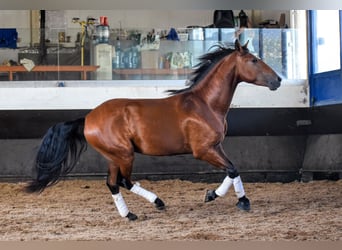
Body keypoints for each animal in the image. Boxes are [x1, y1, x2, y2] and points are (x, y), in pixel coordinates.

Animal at [24, 39, 280, 221]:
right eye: (254, 60)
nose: (277, 80)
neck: (205, 104)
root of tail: (87, 118)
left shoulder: (217, 146)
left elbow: (232, 169)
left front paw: (220, 196)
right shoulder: (203, 150)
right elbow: (233, 169)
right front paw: (236, 200)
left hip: (114, 156)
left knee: (113, 183)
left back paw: (130, 214)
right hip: (124, 154)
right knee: (124, 181)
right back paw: (155, 203)